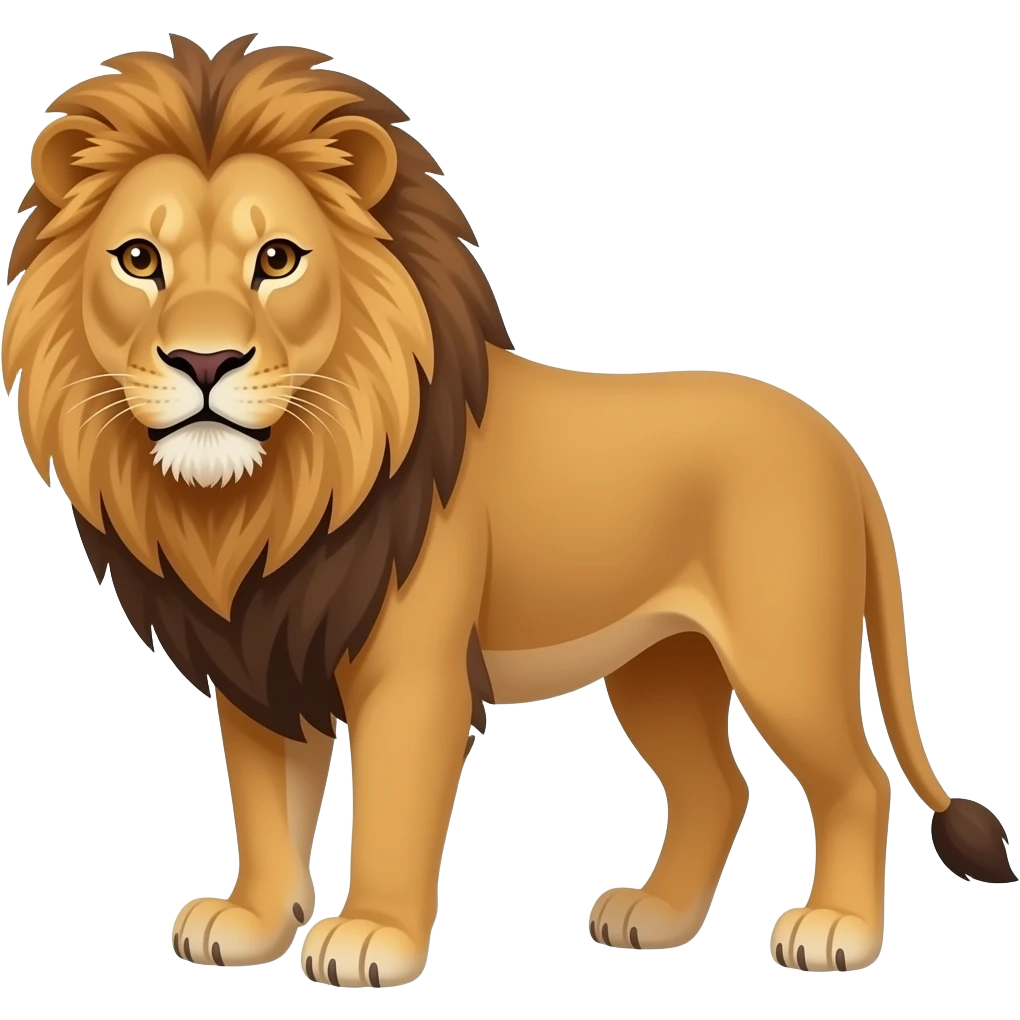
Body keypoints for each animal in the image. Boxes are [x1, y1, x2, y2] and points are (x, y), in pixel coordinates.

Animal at [2, 33, 1014, 987]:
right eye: (140, 260)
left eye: (277, 260)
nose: (204, 362)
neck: (265, 496)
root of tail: (839, 444)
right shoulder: (259, 654)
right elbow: (264, 805)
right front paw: (250, 923)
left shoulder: (411, 672)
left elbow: (393, 809)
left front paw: (371, 937)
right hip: (661, 663)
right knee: (719, 788)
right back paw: (654, 919)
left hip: (784, 653)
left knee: (858, 782)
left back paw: (836, 931)